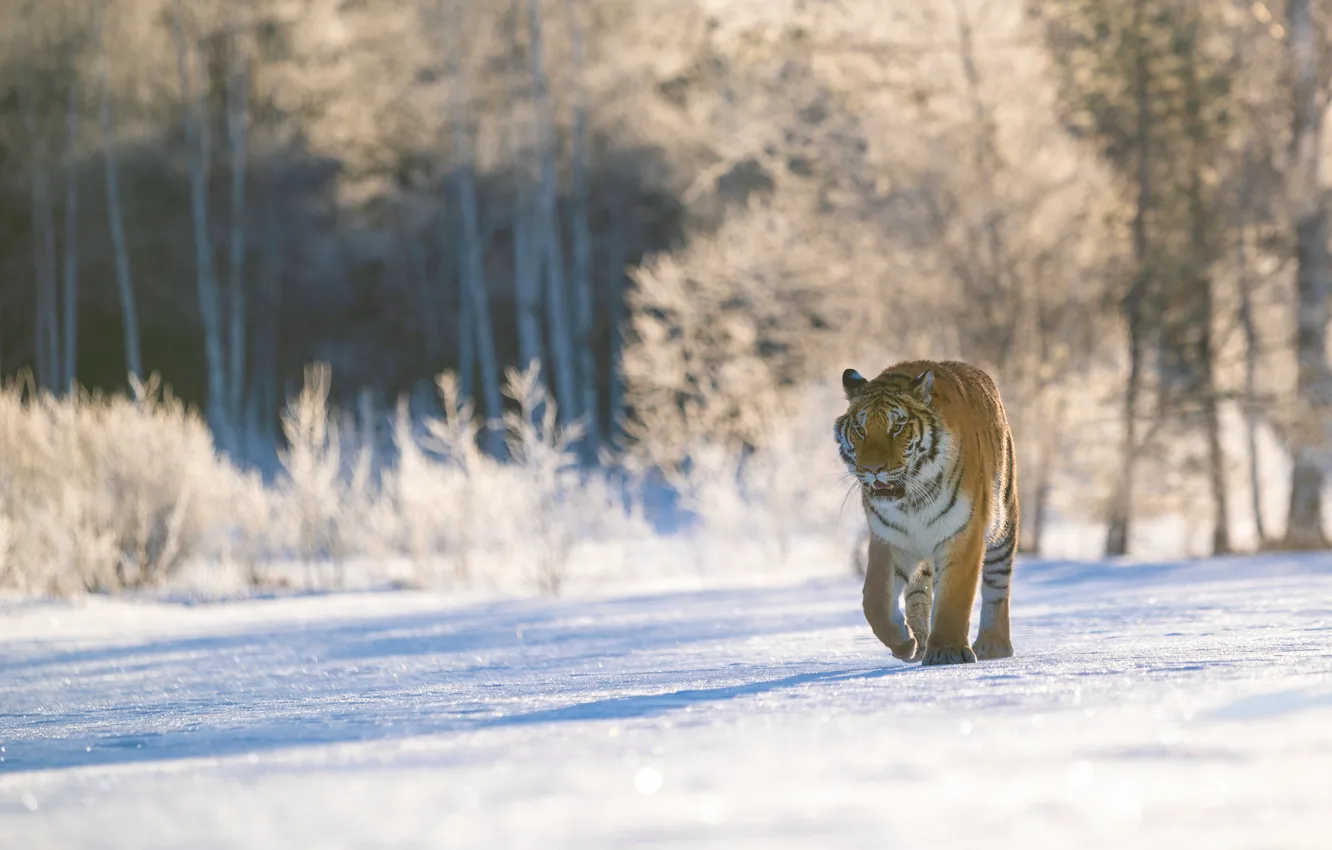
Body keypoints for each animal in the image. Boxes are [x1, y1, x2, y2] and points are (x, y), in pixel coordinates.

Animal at [834, 360, 1019, 666]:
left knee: (997, 584)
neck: (911, 501)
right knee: (918, 593)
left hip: (1003, 526)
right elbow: (874, 599)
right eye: (859, 429)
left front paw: (947, 650)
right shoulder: (889, 538)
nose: (873, 469)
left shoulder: (963, 531)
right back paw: (919, 643)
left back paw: (994, 645)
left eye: (897, 427)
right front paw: (904, 643)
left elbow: (954, 597)